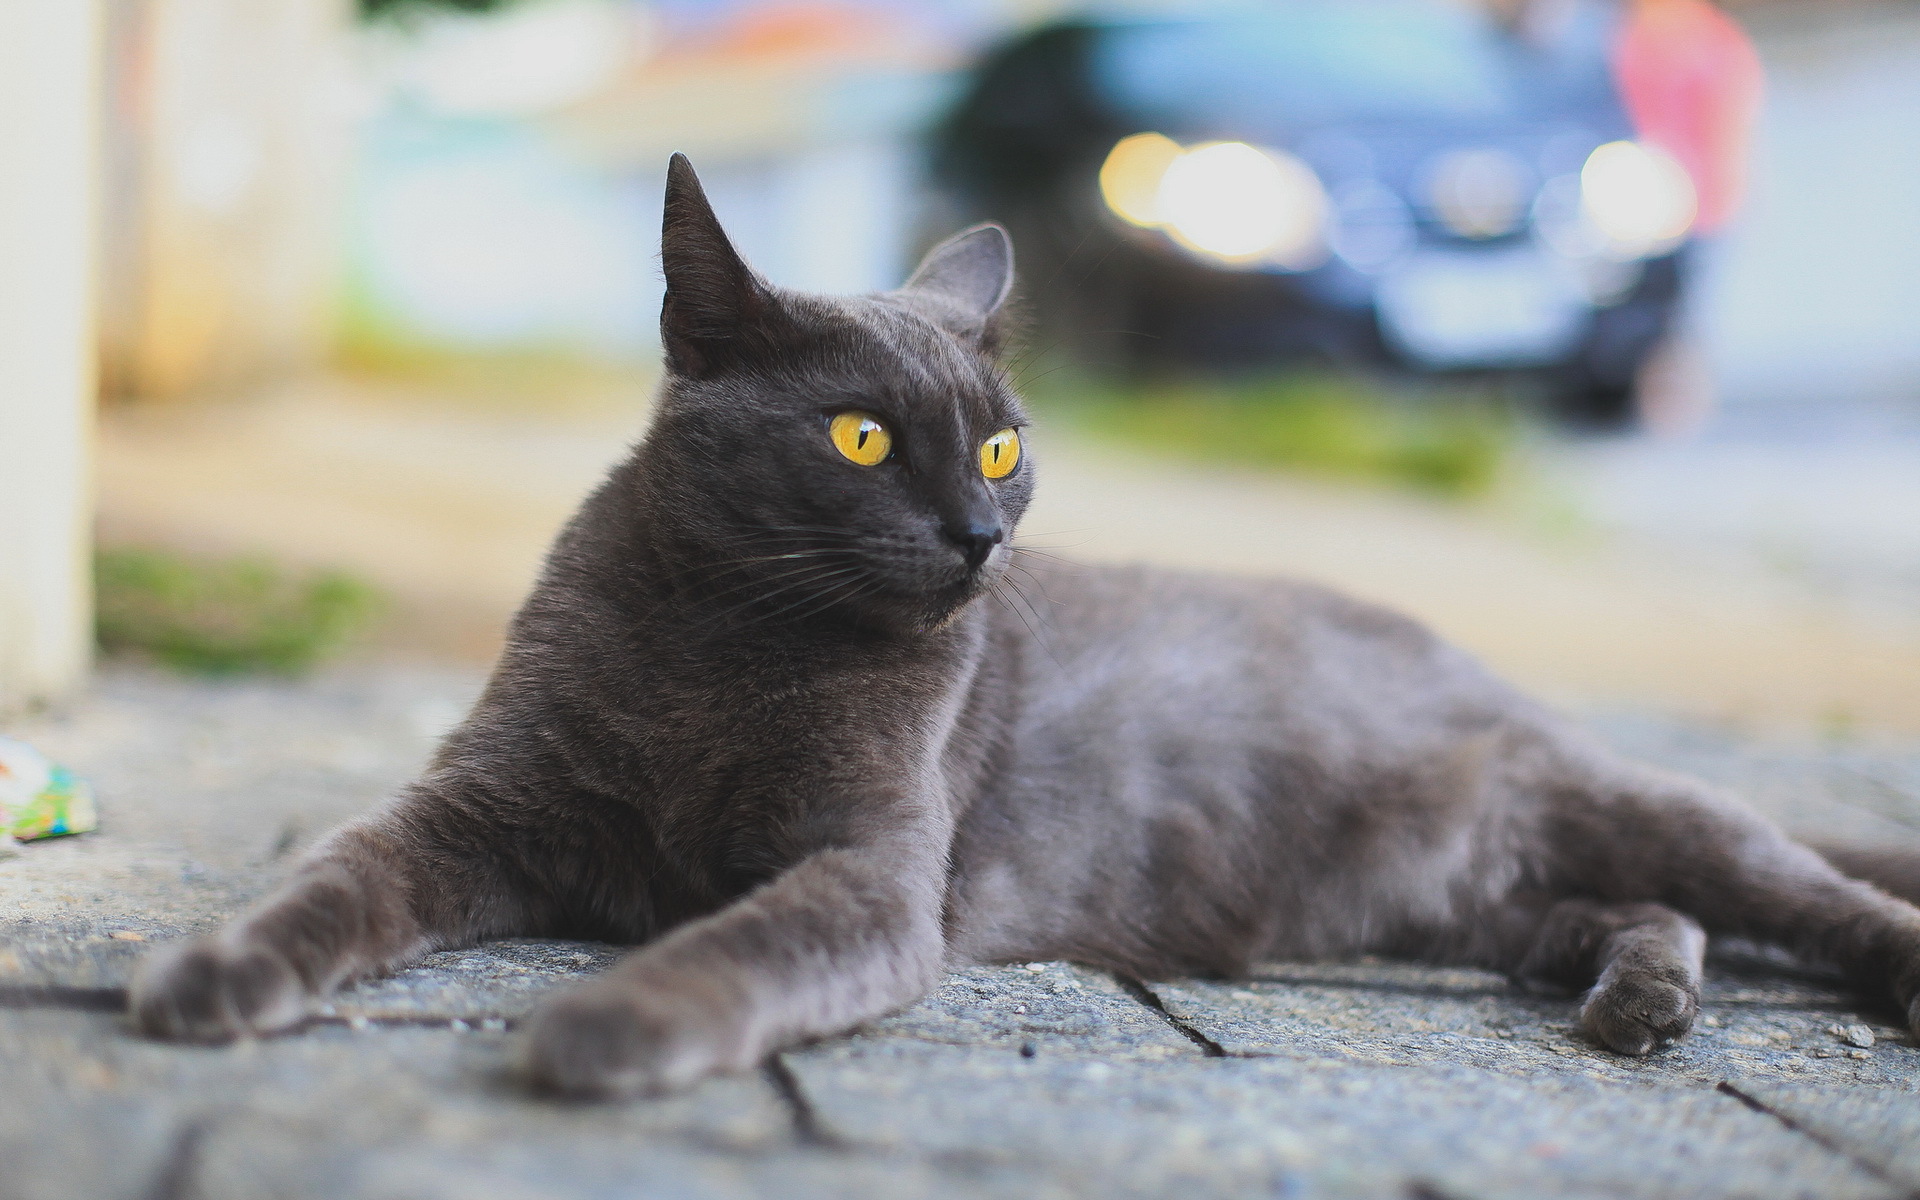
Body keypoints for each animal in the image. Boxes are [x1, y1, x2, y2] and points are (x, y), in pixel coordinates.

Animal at [131, 154, 1920, 1090]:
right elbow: (336, 877)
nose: (984, 535)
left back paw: (1850, 975)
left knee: (1790, 885)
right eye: (863, 437)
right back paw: (1642, 1001)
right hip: (1451, 898)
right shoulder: (477, 805)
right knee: (1641, 910)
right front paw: (216, 972)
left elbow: (735, 943)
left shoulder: (870, 871)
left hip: (1607, 795)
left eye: (1003, 447)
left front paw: (609, 1023)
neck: (722, 647)